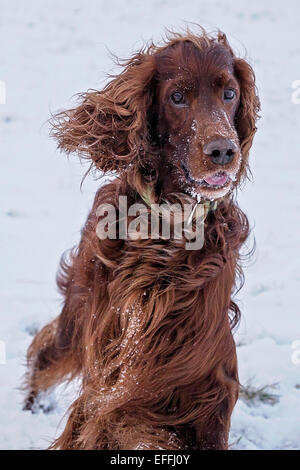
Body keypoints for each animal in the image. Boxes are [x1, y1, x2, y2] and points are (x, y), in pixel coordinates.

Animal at [24, 28, 258, 448]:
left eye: (229, 93)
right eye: (177, 97)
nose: (223, 151)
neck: (169, 226)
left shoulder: (195, 375)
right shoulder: (108, 364)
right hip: (75, 320)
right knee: (46, 354)